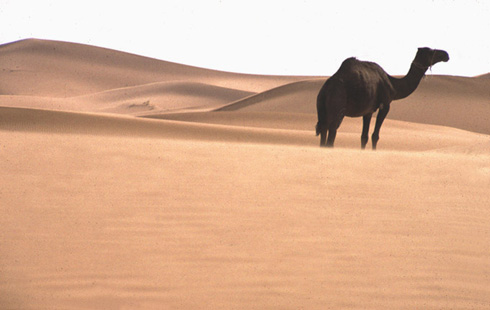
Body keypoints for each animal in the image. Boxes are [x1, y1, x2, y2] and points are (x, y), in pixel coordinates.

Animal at [316, 47, 450, 150]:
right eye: (431, 51)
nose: (446, 54)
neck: (393, 85)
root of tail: (325, 89)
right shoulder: (385, 105)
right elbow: (375, 136)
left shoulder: (368, 111)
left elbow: (364, 137)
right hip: (338, 106)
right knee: (332, 132)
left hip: (322, 108)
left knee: (323, 130)